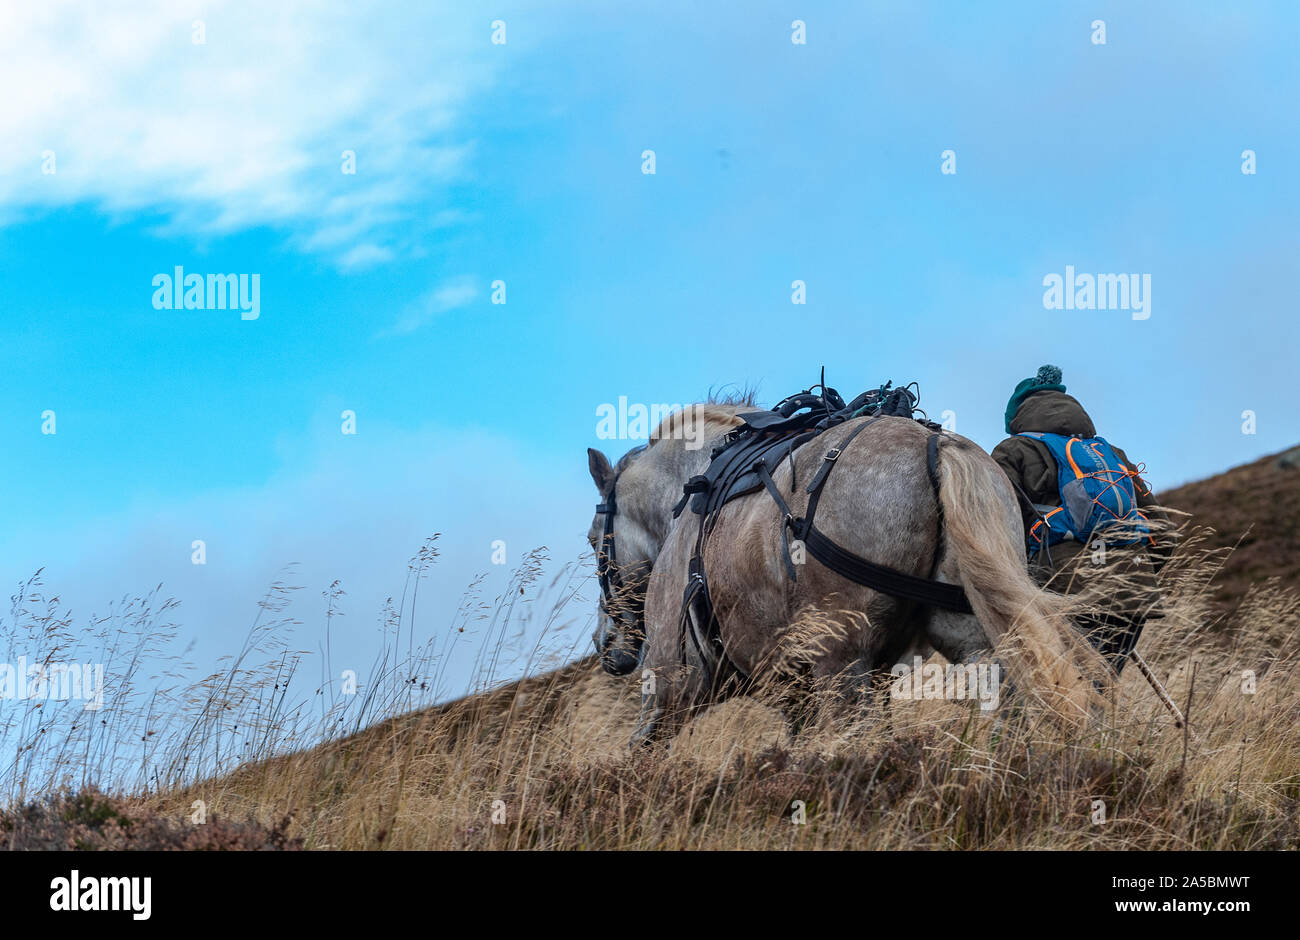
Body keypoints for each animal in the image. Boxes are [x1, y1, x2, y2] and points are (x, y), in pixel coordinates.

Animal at [592, 400, 1107, 748]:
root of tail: (937, 447)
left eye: (596, 541)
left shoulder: (670, 685)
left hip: (841, 661)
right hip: (970, 638)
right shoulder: (796, 692)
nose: (605, 646)